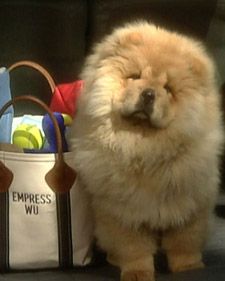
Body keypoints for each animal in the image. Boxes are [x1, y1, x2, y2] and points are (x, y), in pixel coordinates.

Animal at [69, 20, 224, 278]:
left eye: (168, 89)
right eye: (135, 77)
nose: (148, 93)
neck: (144, 148)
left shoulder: (191, 206)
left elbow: (184, 242)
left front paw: (188, 268)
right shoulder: (123, 212)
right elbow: (133, 248)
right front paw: (137, 274)